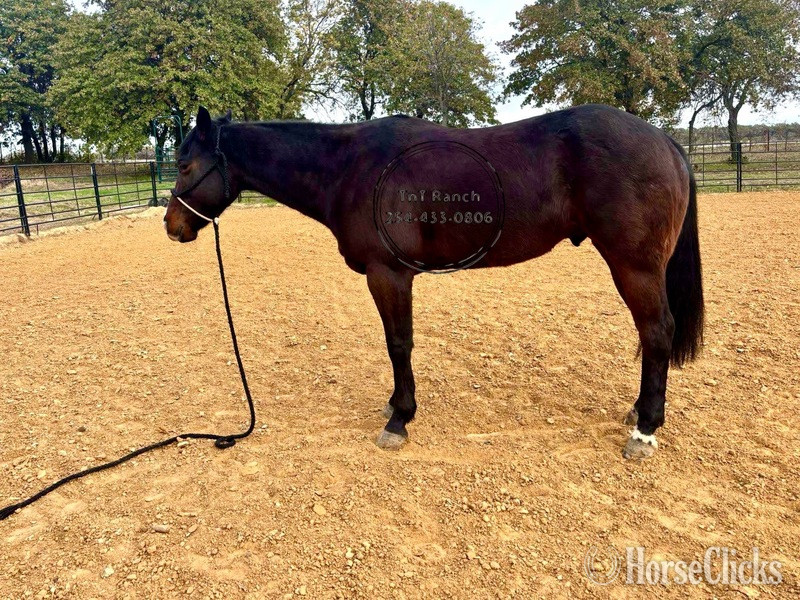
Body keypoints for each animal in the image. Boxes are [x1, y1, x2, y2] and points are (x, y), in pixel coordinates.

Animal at [164, 104, 704, 460]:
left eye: (185, 164)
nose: (172, 226)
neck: (349, 168)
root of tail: (665, 141)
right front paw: (394, 406)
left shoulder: (389, 274)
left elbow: (398, 343)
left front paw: (399, 418)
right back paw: (638, 413)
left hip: (633, 266)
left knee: (657, 332)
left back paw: (645, 431)